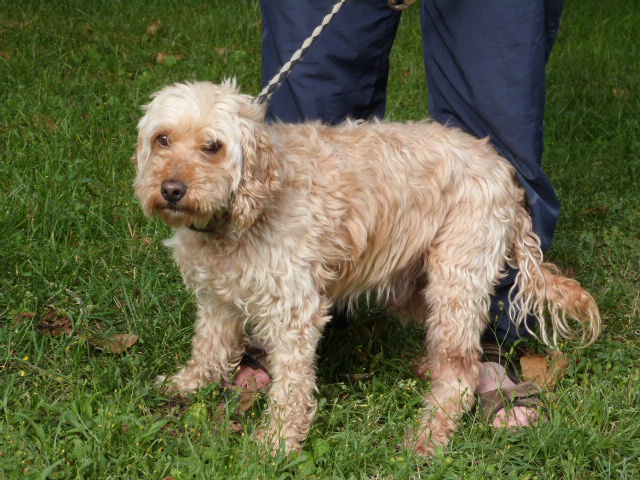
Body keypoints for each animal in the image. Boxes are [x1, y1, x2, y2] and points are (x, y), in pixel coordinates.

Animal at [132, 80, 604, 456]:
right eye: (163, 139)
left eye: (213, 146)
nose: (171, 189)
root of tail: (504, 170)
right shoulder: (215, 299)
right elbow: (207, 348)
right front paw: (188, 384)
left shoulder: (295, 312)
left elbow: (291, 385)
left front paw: (277, 441)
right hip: (418, 286)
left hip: (457, 279)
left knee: (462, 372)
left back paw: (429, 435)